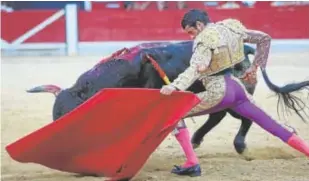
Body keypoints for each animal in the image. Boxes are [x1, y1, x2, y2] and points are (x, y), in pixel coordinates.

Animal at [27, 41, 255, 154]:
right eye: (56, 117)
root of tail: (245, 48)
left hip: (235, 96)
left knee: (245, 115)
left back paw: (240, 145)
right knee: (218, 116)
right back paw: (197, 139)